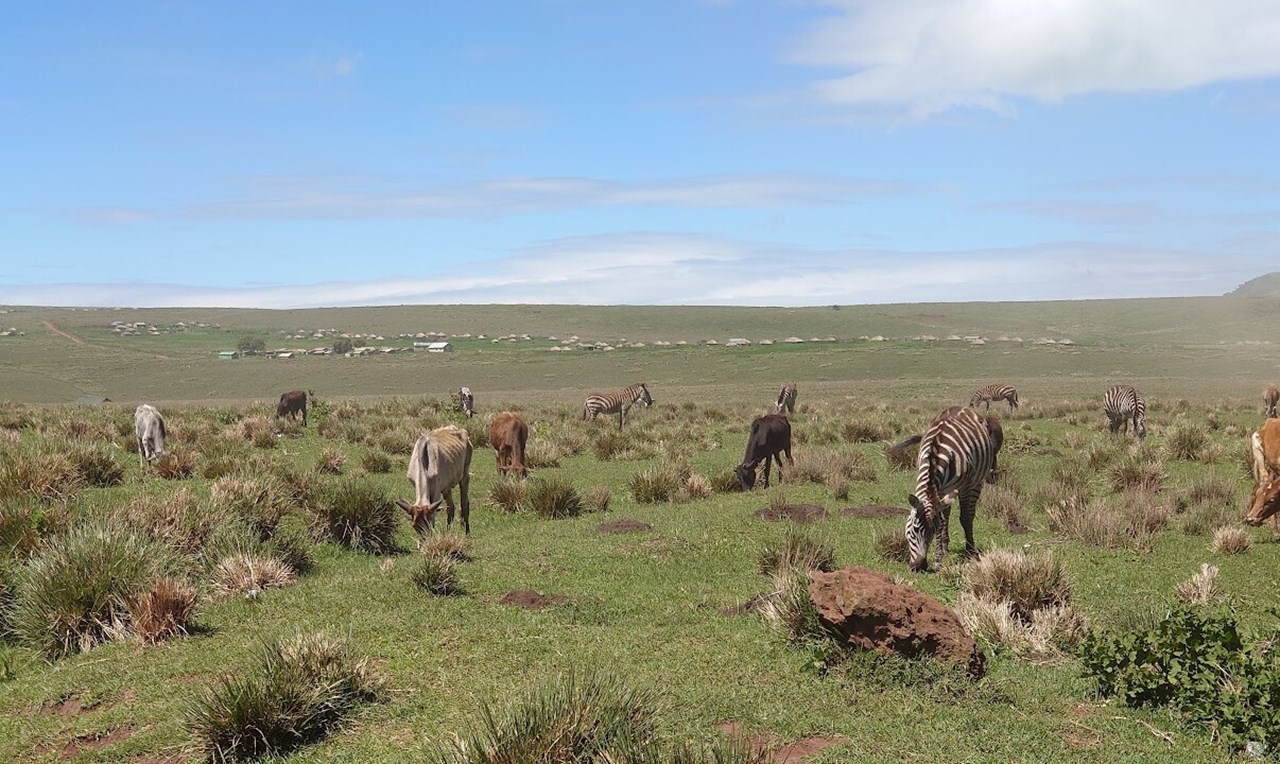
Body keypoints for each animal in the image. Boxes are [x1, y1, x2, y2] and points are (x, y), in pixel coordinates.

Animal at [898, 406, 1004, 572]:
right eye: (914, 530)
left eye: (931, 533)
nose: (919, 567)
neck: (934, 457)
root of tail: (962, 408)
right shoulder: (939, 492)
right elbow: (942, 522)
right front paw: (940, 554)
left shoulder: (965, 487)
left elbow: (963, 518)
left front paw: (966, 552)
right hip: (946, 490)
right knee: (946, 515)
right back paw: (946, 545)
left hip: (976, 482)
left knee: (969, 515)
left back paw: (970, 548)